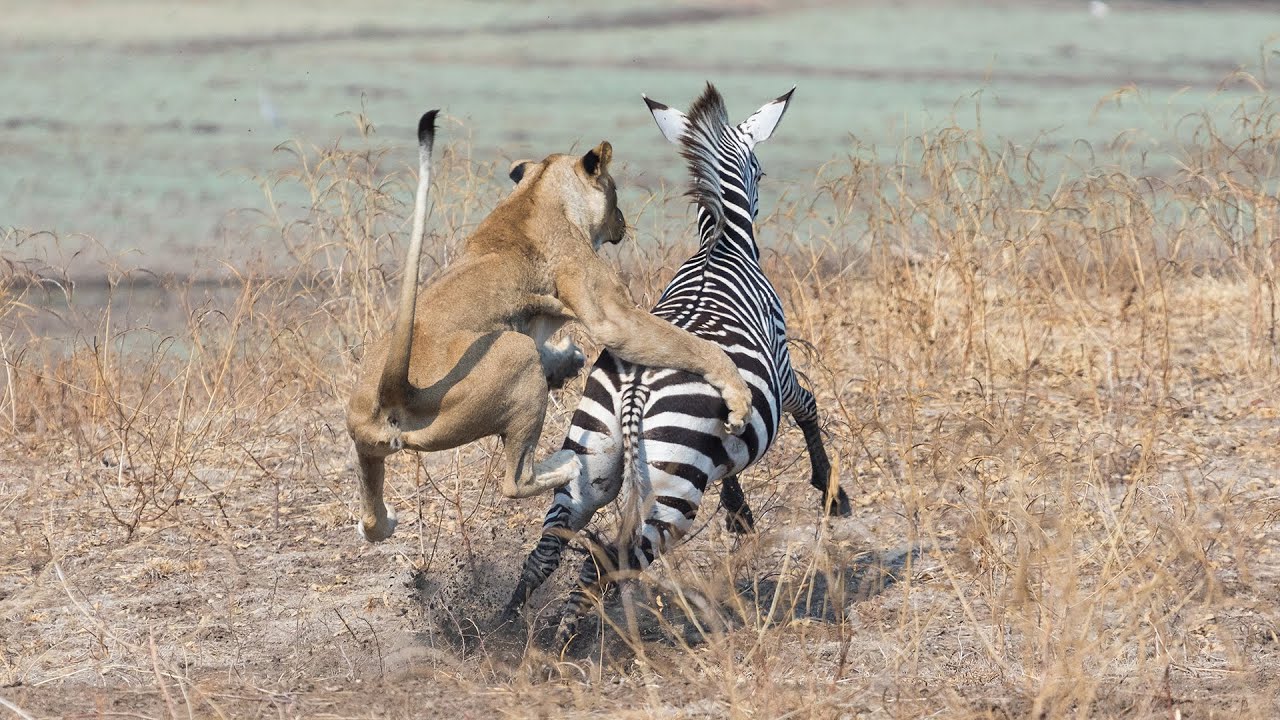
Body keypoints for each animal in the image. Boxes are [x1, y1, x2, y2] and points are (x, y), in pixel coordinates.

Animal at [346, 110, 753, 542]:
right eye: (616, 192)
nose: (622, 222)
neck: (538, 191)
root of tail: (396, 389)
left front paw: (567, 359)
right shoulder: (612, 315)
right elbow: (690, 344)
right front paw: (738, 397)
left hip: (366, 442)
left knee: (371, 519)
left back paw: (383, 520)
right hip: (515, 352)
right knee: (515, 481)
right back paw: (568, 464)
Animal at [503, 83, 852, 647]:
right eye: (763, 173)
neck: (720, 246)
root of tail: (636, 387)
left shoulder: (735, 410)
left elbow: (733, 451)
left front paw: (739, 513)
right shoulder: (780, 366)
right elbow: (809, 406)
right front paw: (830, 492)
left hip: (589, 457)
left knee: (548, 547)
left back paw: (506, 627)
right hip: (672, 487)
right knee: (613, 560)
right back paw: (569, 645)